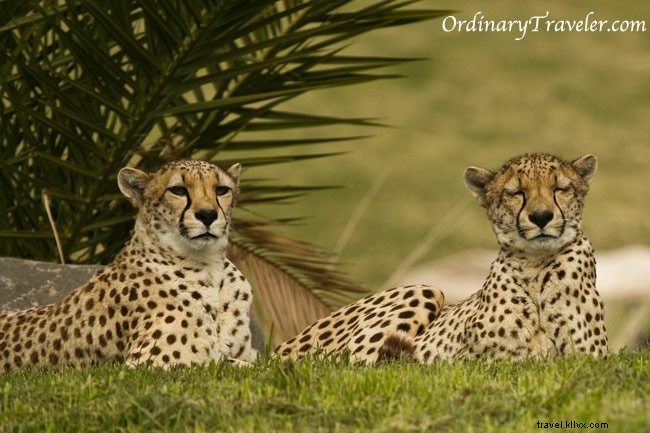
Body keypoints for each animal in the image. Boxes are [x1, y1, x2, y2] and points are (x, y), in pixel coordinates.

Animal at [0, 160, 258, 371]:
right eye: (178, 190)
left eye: (221, 190)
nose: (207, 215)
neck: (209, 266)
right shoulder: (151, 364)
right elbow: (234, 365)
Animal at [274, 153, 608, 363]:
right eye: (516, 193)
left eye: (560, 188)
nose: (541, 217)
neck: (536, 267)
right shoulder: (471, 362)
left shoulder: (587, 359)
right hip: (424, 289)